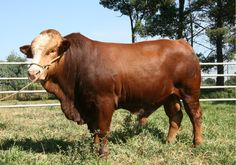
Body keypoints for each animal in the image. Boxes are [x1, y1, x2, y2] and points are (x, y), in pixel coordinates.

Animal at [19, 29, 203, 157]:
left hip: (190, 92)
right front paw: (93, 149)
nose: (33, 72)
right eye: (32, 53)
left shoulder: (104, 102)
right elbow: (94, 130)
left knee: (195, 116)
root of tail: (181, 42)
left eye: (51, 50)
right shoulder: (88, 106)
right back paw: (168, 142)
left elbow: (103, 129)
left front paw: (103, 154)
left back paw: (197, 144)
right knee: (175, 117)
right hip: (169, 95)